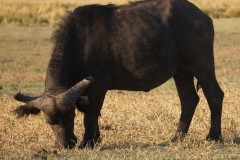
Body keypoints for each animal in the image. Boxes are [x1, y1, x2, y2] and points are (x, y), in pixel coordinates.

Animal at [14, 0, 224, 149]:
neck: (80, 43)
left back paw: (213, 136)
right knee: (189, 99)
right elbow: (92, 113)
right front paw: (94, 140)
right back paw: (177, 137)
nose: (66, 145)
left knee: (214, 95)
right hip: (181, 72)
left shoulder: (98, 86)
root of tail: (202, 17)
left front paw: (87, 142)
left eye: (71, 115)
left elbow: (90, 114)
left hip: (202, 66)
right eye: (49, 121)